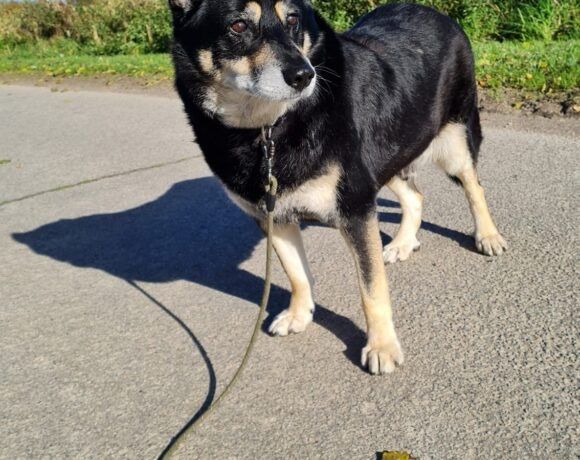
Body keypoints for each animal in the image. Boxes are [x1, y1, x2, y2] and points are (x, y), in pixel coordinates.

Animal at [165, 0, 506, 374]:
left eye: (293, 19)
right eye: (238, 26)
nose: (304, 76)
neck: (267, 129)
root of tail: (435, 13)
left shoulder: (356, 210)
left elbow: (372, 290)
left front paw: (382, 346)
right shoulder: (275, 216)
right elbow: (297, 274)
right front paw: (300, 314)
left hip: (453, 142)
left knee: (474, 188)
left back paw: (488, 236)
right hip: (386, 151)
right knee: (415, 196)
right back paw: (403, 243)